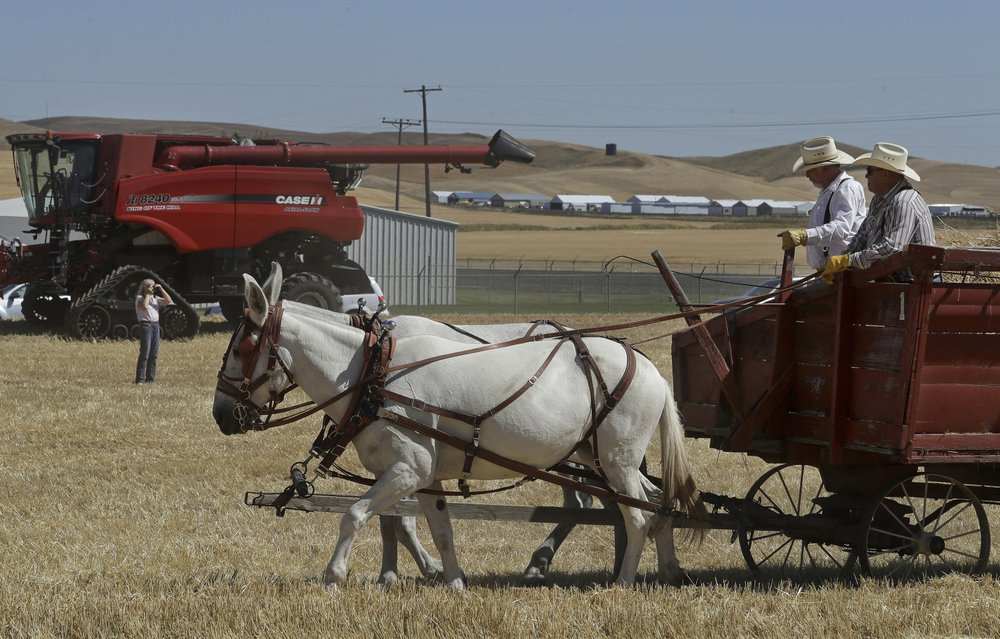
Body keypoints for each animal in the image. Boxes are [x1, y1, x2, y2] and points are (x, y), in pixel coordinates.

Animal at [215, 266, 708, 592]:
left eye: (240, 347)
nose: (221, 415)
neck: (372, 374)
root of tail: (648, 366)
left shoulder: (408, 469)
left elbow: (357, 515)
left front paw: (335, 576)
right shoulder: (425, 476)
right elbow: (438, 528)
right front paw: (451, 580)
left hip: (616, 459)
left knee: (636, 514)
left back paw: (622, 581)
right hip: (601, 458)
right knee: (658, 503)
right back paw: (670, 569)